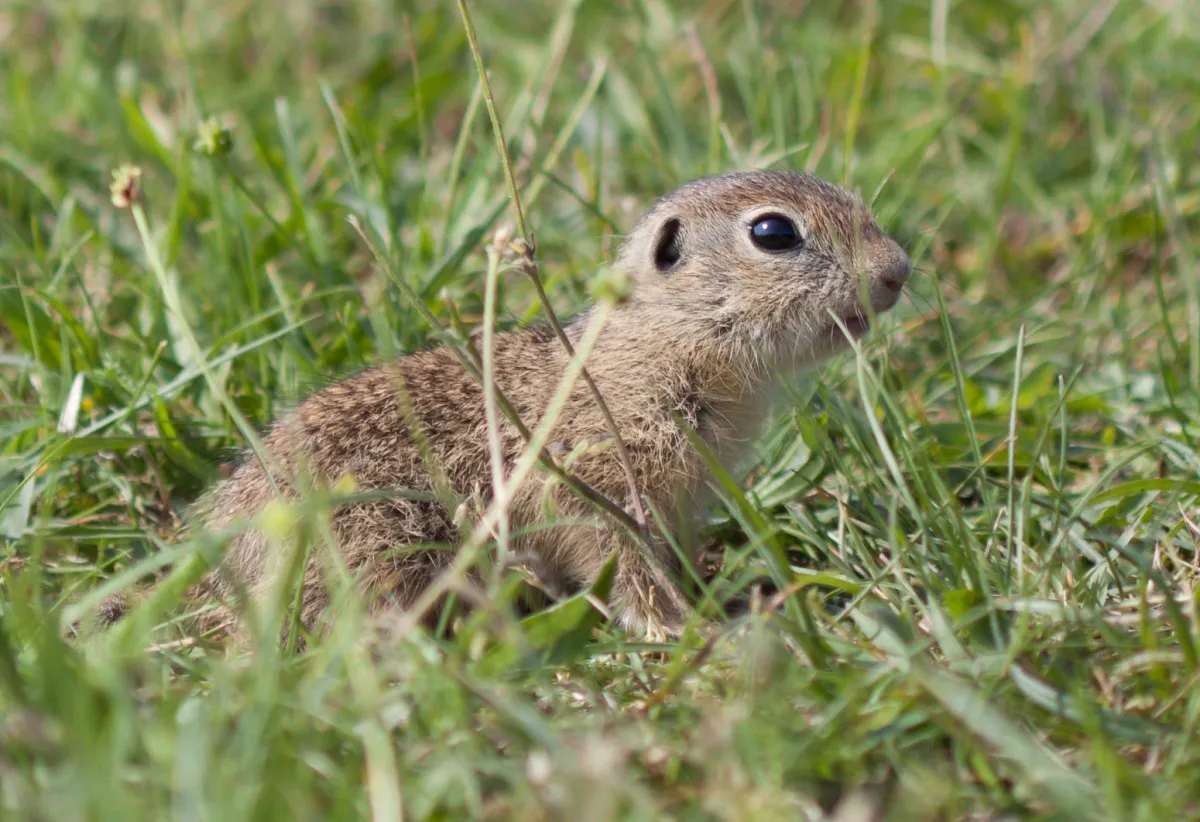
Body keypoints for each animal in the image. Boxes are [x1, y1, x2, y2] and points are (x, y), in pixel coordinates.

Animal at [100, 168, 907, 648]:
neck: (664, 339)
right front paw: (682, 629)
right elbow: (624, 568)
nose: (897, 272)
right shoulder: (598, 484)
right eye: (774, 232)